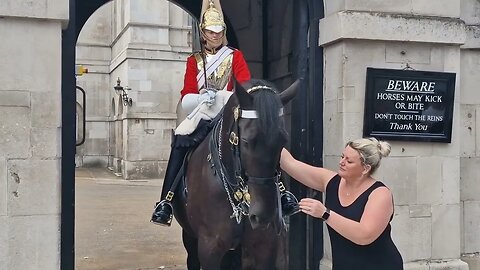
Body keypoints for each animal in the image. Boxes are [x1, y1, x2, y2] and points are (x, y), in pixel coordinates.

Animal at [172, 79, 298, 268]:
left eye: (283, 140)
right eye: (246, 140)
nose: (265, 217)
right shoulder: (209, 248)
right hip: (190, 237)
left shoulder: (265, 246)